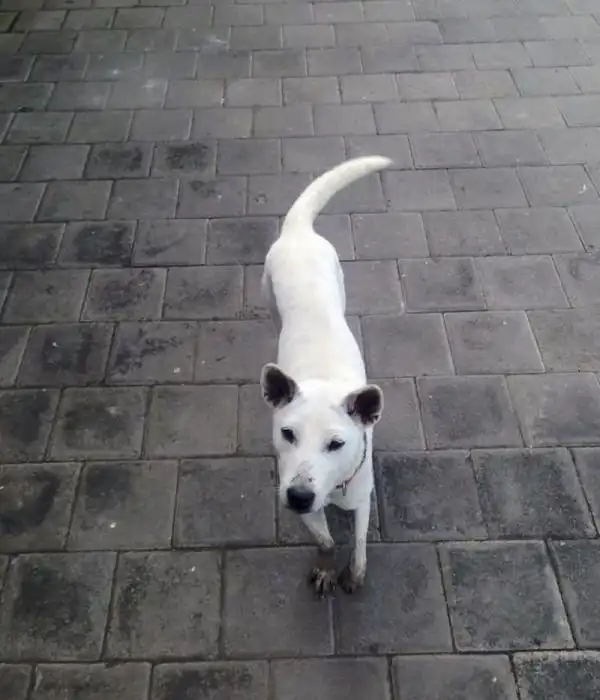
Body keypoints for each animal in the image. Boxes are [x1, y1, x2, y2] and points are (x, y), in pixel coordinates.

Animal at [260, 156, 392, 596]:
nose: (300, 495)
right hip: (268, 291)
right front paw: (325, 566)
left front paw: (354, 574)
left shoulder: (362, 496)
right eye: (287, 434)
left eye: (336, 443)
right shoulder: (295, 495)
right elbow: (324, 539)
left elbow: (361, 541)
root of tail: (299, 230)